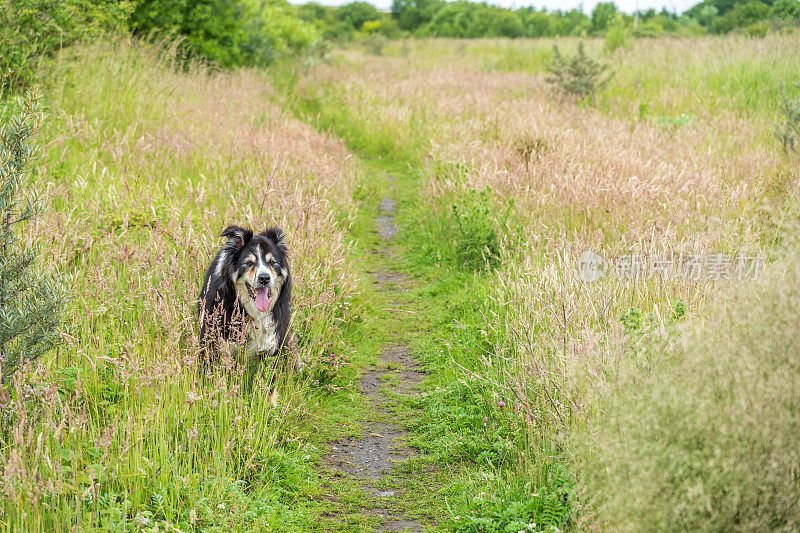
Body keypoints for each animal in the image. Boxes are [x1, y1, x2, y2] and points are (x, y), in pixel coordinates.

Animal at [198, 223, 298, 404]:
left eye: (272, 262)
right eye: (249, 262)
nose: (264, 278)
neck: (251, 311)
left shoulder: (272, 344)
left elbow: (269, 383)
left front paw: (268, 405)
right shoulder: (218, 344)